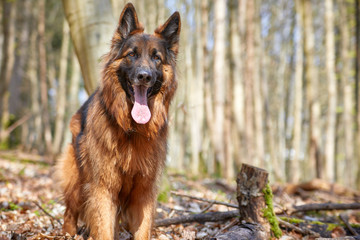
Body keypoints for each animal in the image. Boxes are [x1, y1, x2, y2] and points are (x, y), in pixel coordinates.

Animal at [57, 3, 180, 240]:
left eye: (156, 58)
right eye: (132, 54)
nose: (144, 76)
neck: (133, 130)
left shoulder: (144, 192)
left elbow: (142, 230)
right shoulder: (103, 188)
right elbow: (103, 229)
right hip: (77, 179)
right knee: (70, 212)